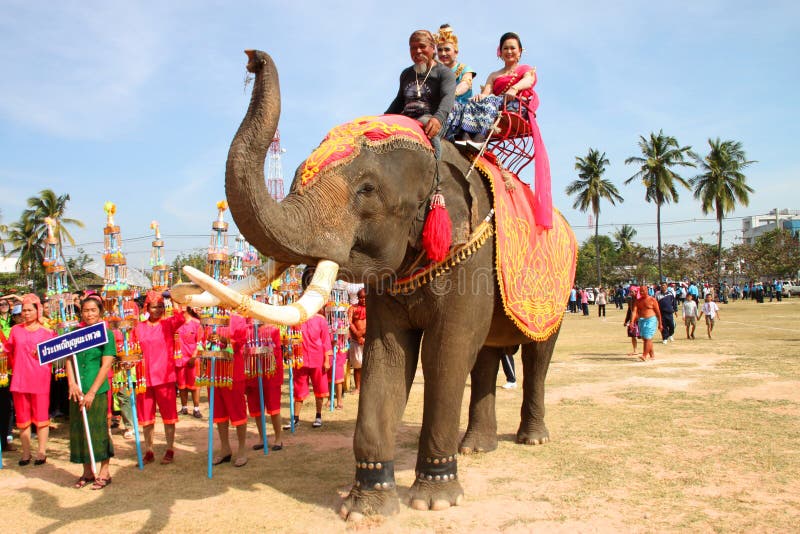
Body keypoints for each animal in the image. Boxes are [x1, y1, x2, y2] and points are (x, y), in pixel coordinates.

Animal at [173, 51, 576, 524]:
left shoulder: (471, 256)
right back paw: (475, 447)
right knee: (486, 357)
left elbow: (446, 350)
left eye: (366, 190)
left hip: (556, 293)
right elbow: (388, 353)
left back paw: (533, 438)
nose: (253, 59)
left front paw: (434, 500)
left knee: (536, 355)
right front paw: (364, 507)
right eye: (295, 177)